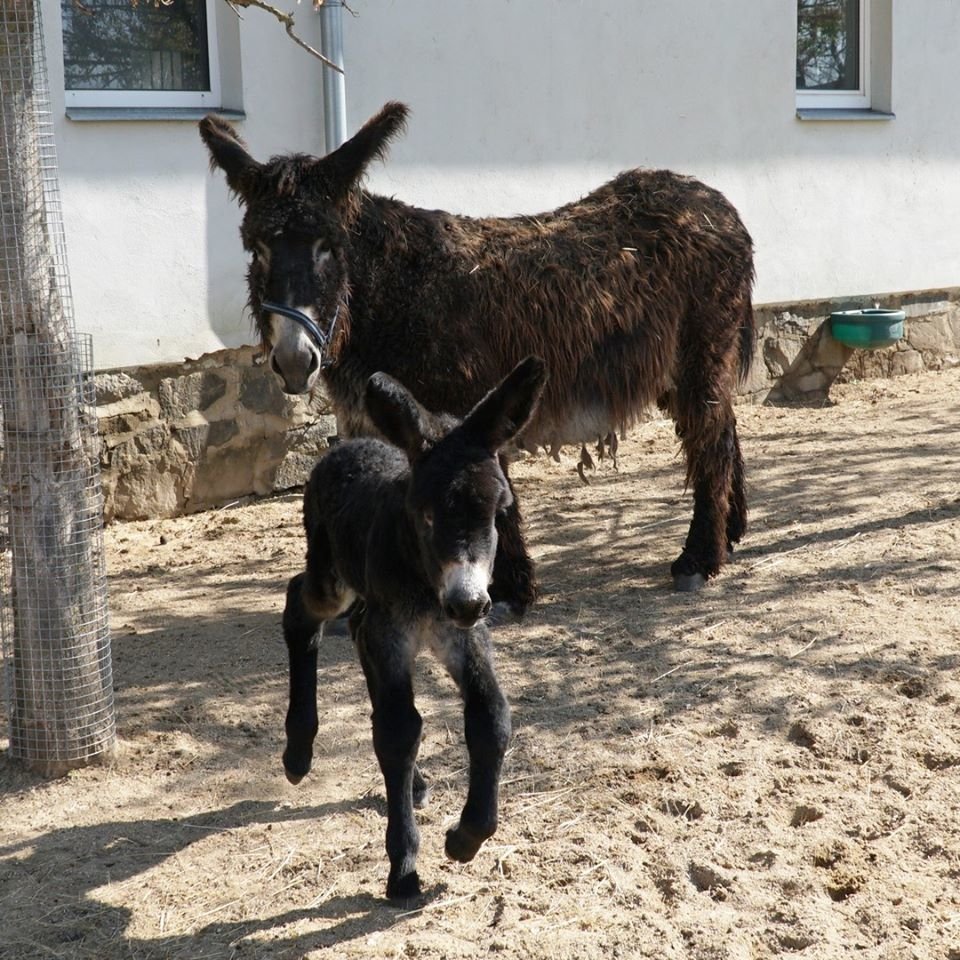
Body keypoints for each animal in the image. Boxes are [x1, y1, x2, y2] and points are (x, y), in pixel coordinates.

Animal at [282, 354, 544, 900]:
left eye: (499, 511)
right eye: (424, 515)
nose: (467, 602)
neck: (428, 590)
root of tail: (346, 445)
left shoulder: (463, 637)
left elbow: (491, 718)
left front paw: (465, 837)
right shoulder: (397, 635)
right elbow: (399, 731)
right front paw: (403, 866)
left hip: (375, 615)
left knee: (357, 636)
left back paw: (416, 782)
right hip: (334, 579)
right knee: (300, 605)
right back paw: (297, 752)